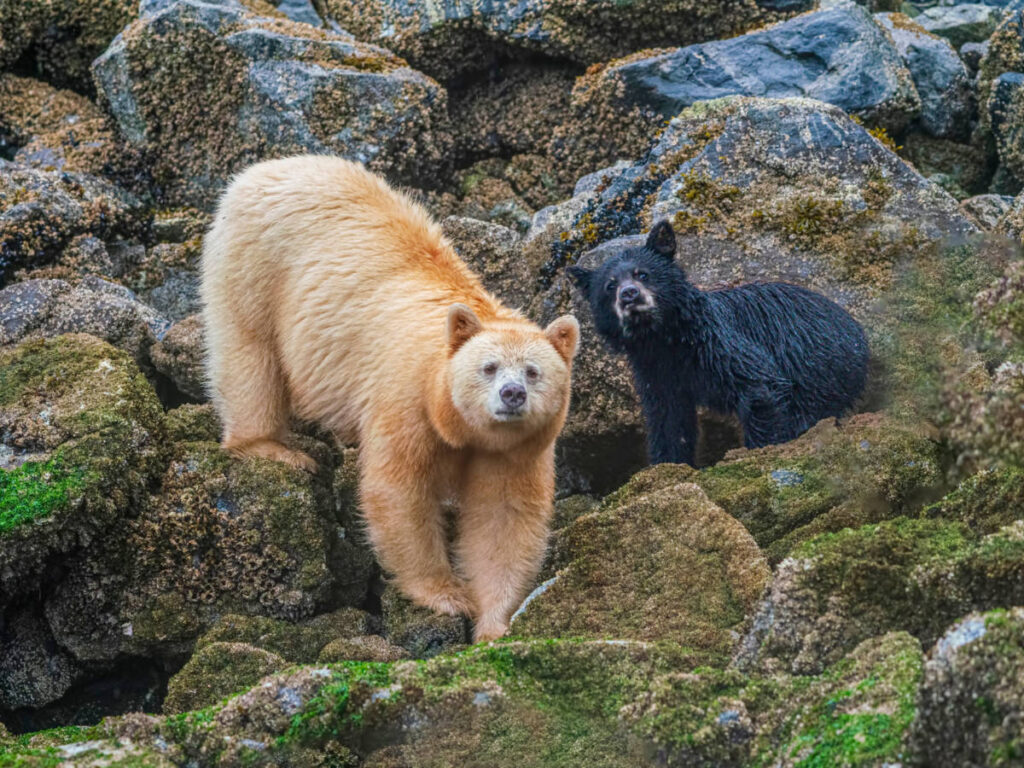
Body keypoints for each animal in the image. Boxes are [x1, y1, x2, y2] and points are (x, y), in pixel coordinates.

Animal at [200, 155, 580, 642]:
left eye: (533, 372)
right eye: (489, 367)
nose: (511, 395)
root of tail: (269, 167)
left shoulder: (518, 449)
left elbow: (503, 517)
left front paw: (495, 625)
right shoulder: (405, 396)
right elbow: (398, 490)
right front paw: (447, 595)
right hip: (256, 263)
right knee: (250, 353)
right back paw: (270, 447)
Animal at [568, 220, 869, 466]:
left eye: (642, 274)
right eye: (610, 286)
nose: (629, 294)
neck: (665, 339)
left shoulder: (717, 342)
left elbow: (760, 384)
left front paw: (762, 448)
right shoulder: (655, 372)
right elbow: (668, 420)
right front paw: (668, 463)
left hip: (821, 370)